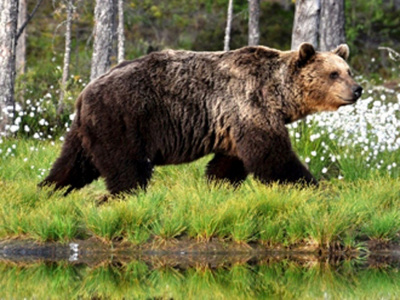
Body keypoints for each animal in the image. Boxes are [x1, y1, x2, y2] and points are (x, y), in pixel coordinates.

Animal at [39, 43, 362, 196]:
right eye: (333, 73)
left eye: (348, 70)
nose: (357, 89)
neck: (278, 94)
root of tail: (84, 92)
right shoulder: (249, 105)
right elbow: (272, 156)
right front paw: (313, 186)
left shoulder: (234, 121)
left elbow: (229, 163)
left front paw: (216, 187)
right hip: (123, 120)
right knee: (128, 169)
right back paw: (122, 196)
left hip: (86, 130)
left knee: (73, 164)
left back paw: (48, 190)